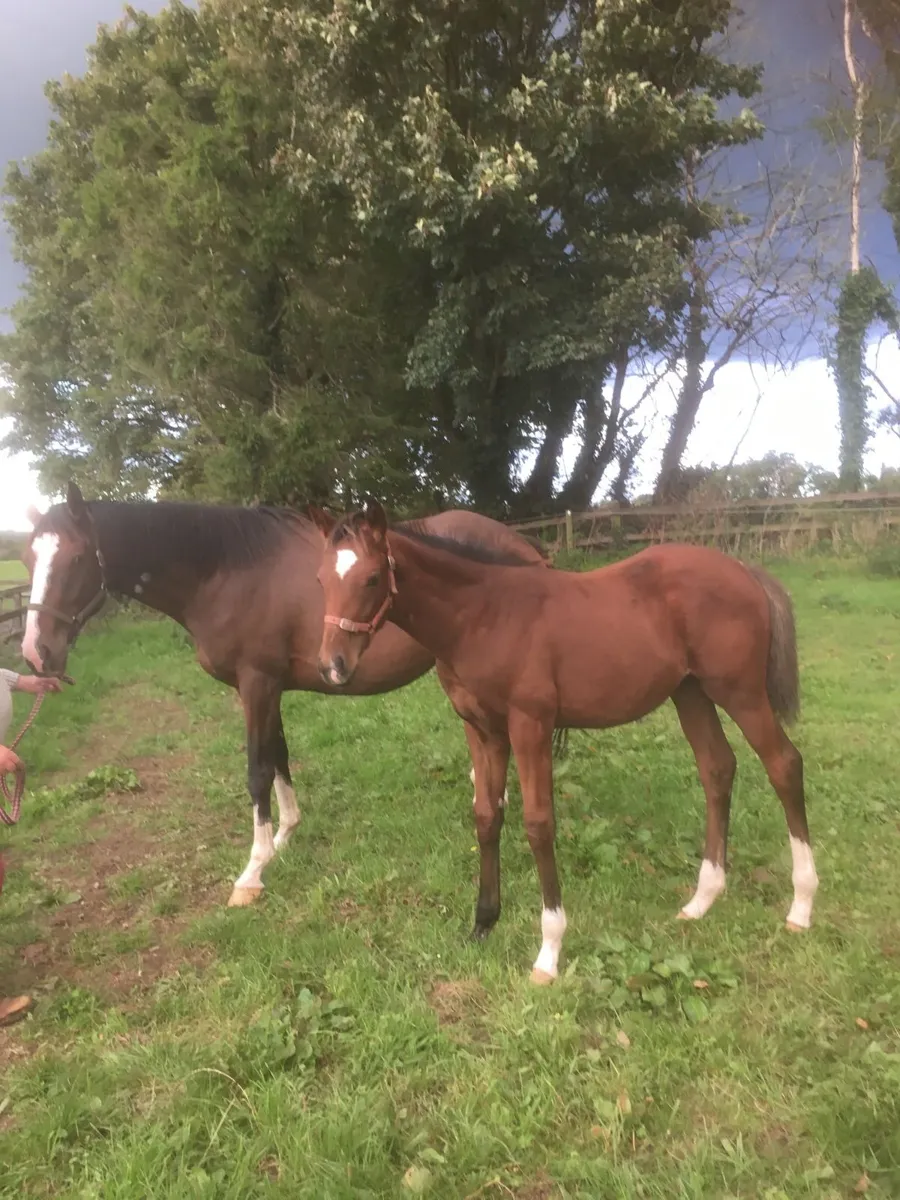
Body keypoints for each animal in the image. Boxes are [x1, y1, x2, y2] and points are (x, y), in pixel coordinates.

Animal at [19, 483, 548, 906]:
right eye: (27, 558)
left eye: (76, 559)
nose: (35, 652)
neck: (224, 573)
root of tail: (524, 546)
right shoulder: (260, 687)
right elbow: (279, 755)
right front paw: (285, 837)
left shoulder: (258, 682)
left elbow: (257, 769)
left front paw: (253, 871)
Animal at [310, 500, 818, 984]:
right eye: (320, 578)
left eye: (372, 577)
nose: (332, 666)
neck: (483, 616)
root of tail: (745, 571)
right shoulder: (482, 729)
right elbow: (486, 817)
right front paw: (483, 924)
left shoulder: (529, 724)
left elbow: (538, 824)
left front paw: (549, 951)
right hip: (690, 693)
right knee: (717, 768)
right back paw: (702, 900)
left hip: (740, 691)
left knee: (784, 765)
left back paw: (801, 905)